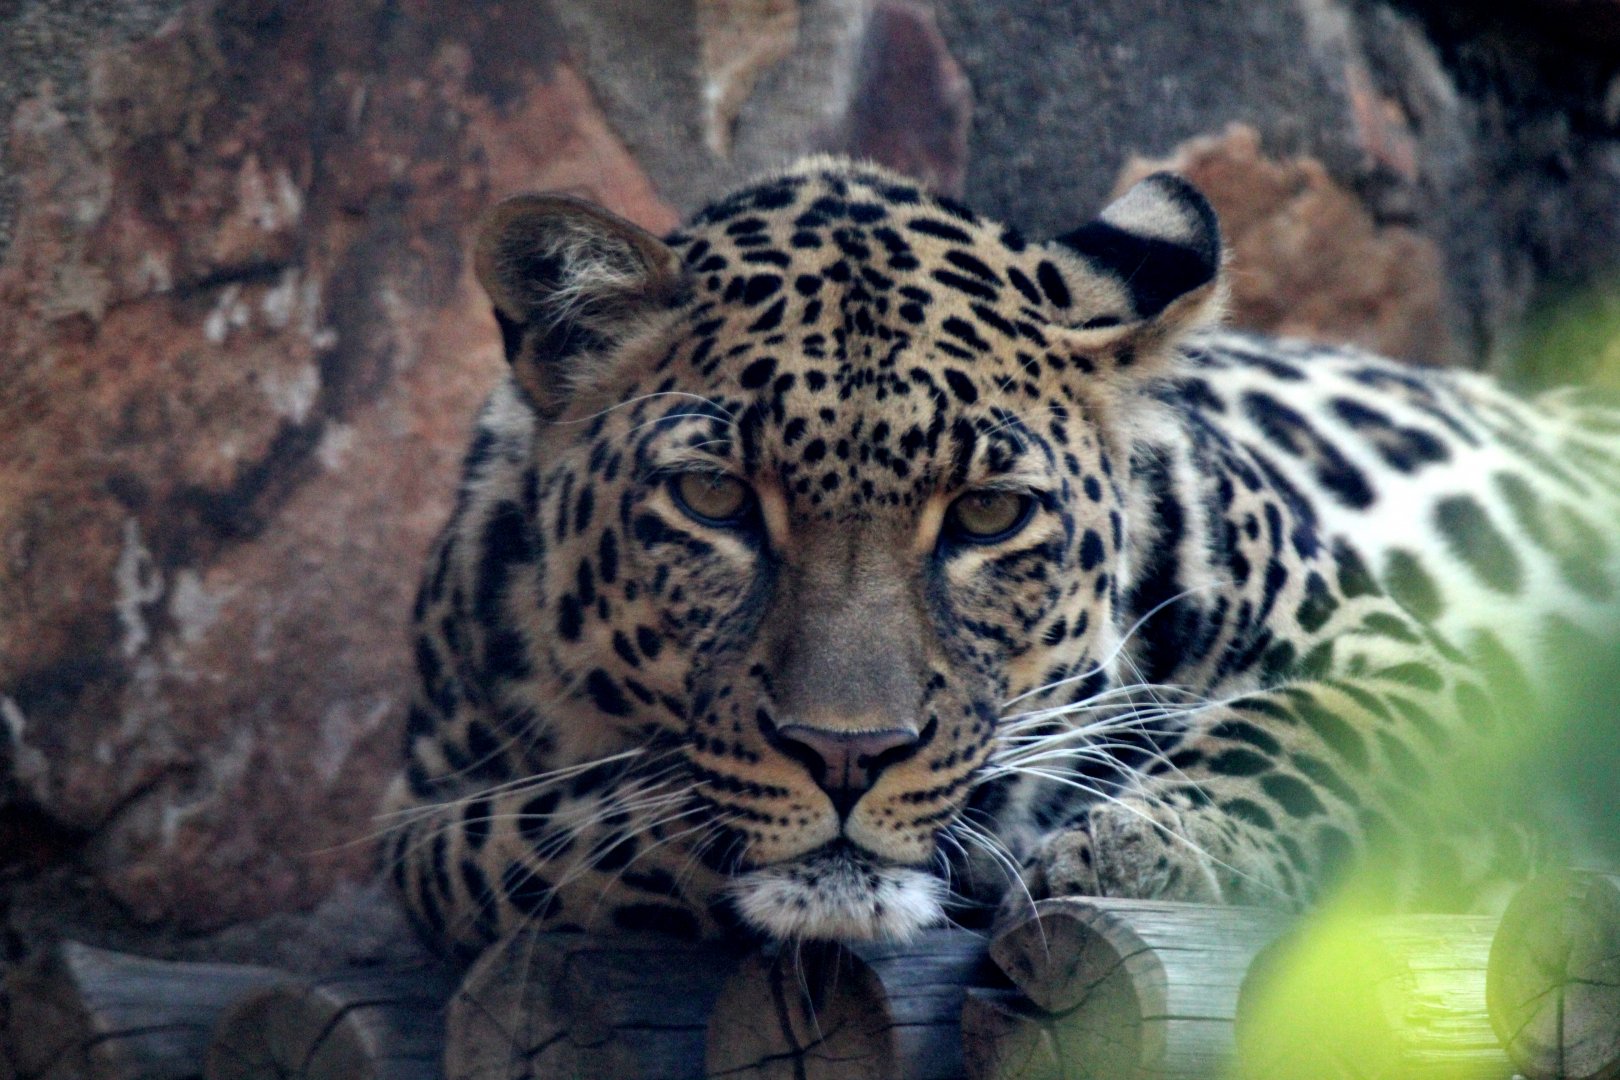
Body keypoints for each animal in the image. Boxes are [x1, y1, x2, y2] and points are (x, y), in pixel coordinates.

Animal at [383, 155, 1620, 956]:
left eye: (985, 516)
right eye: (714, 497)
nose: (847, 757)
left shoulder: (1385, 645)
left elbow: (1309, 732)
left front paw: (1138, 846)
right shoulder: (423, 811)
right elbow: (544, 831)